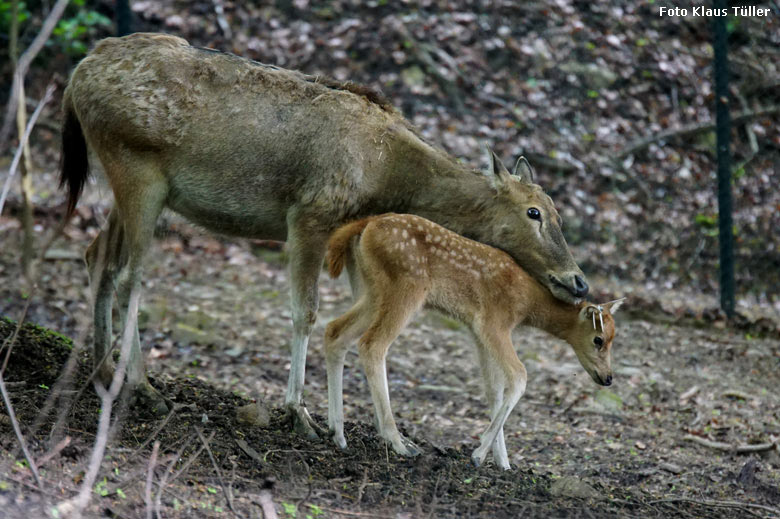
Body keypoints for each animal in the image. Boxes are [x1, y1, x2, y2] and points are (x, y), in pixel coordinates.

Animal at [59, 32, 584, 438]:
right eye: (535, 212)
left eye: (558, 212)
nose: (577, 280)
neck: (384, 178)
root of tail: (78, 73)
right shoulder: (310, 215)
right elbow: (305, 312)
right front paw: (299, 412)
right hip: (139, 172)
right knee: (132, 275)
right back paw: (141, 386)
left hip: (131, 184)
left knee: (97, 257)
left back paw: (102, 368)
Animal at [322, 213, 620, 470]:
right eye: (598, 339)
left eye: (612, 339)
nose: (608, 378)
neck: (527, 302)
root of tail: (366, 224)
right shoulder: (493, 324)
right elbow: (519, 375)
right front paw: (480, 453)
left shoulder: (477, 332)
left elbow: (493, 390)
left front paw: (502, 463)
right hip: (405, 287)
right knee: (372, 344)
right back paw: (397, 441)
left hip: (372, 291)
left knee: (334, 331)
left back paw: (338, 433)